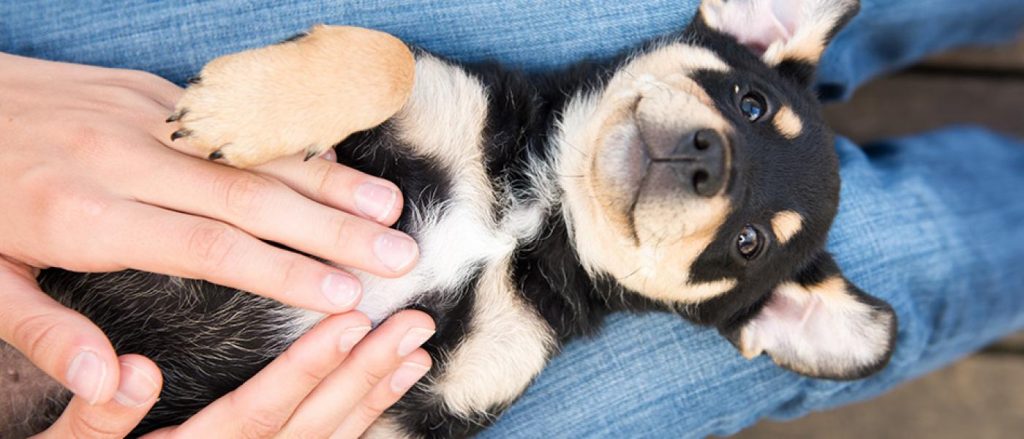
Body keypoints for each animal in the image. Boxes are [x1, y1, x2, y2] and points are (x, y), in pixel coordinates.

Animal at [9, 0, 897, 433]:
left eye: (748, 244)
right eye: (750, 102)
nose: (712, 159)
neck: (530, 214)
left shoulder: (433, 403)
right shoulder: (432, 98)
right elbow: (388, 56)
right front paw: (238, 108)